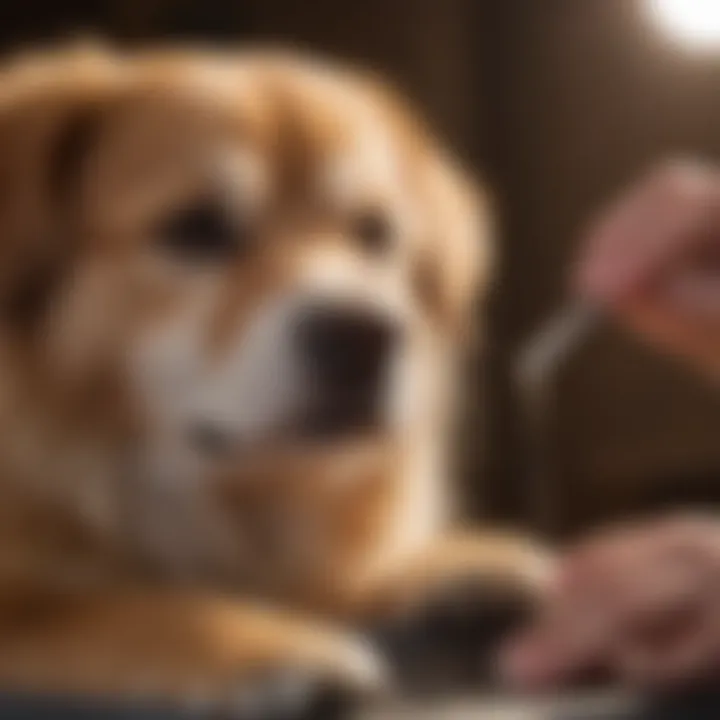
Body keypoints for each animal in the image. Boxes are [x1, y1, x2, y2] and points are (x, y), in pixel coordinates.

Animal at [0, 43, 552, 716]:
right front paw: (257, 643)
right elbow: (83, 607)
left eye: (373, 233)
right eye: (196, 227)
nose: (364, 336)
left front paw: (441, 570)